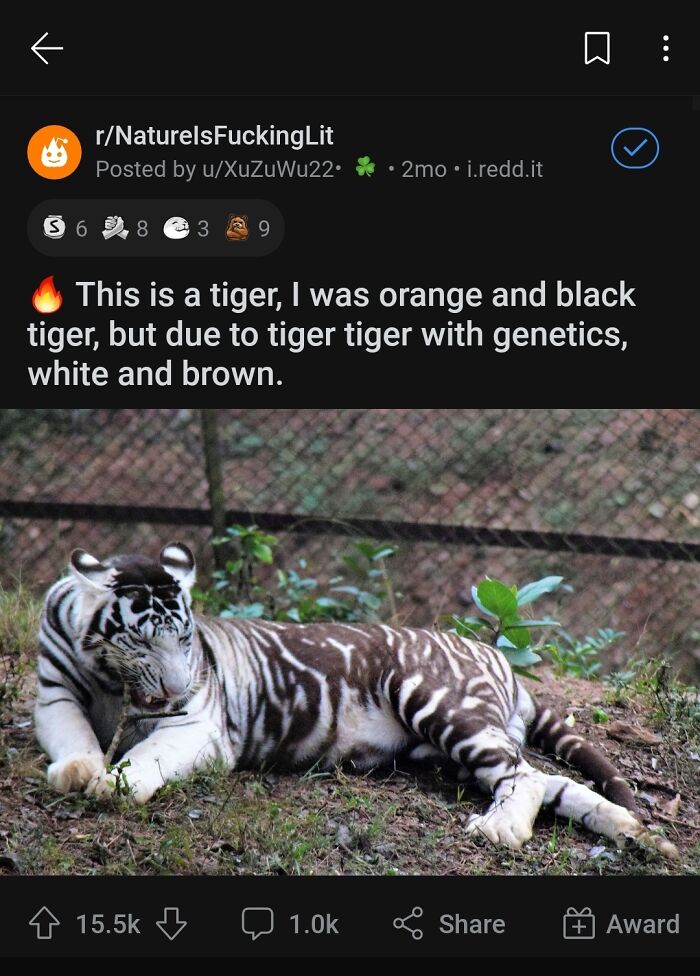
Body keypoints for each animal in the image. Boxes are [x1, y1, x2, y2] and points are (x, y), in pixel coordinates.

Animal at [34, 542, 678, 858]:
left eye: (186, 640)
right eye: (143, 639)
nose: (174, 688)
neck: (111, 679)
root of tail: (496, 659)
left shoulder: (195, 726)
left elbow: (143, 758)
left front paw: (113, 783)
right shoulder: (53, 693)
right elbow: (72, 735)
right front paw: (78, 769)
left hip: (441, 705)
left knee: (528, 778)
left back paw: (501, 831)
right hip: (448, 749)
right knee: (551, 781)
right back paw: (637, 834)